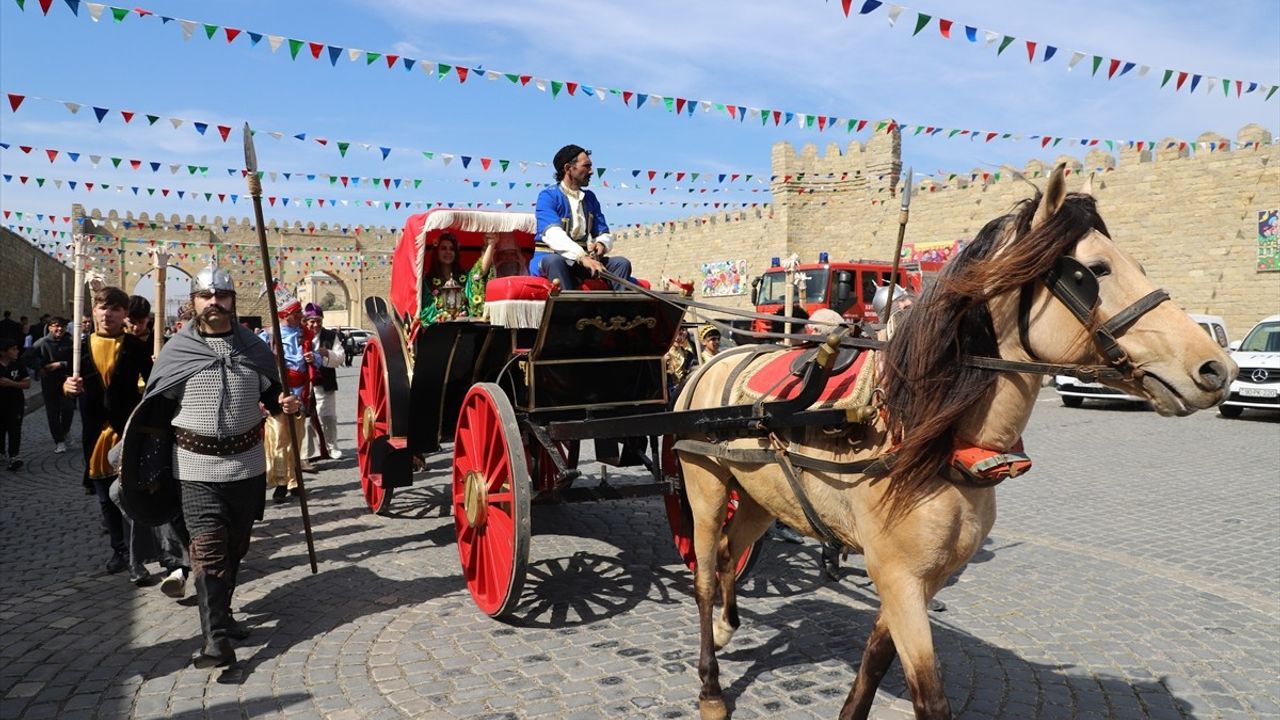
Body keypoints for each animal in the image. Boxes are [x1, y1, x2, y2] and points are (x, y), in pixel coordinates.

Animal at [675, 163, 1233, 717]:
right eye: (1094, 271)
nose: (1216, 367)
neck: (928, 438)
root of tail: (716, 360)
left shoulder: (922, 579)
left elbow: (874, 664)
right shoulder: (898, 577)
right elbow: (930, 697)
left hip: (759, 498)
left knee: (729, 553)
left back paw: (727, 627)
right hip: (706, 490)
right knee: (702, 577)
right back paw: (711, 687)